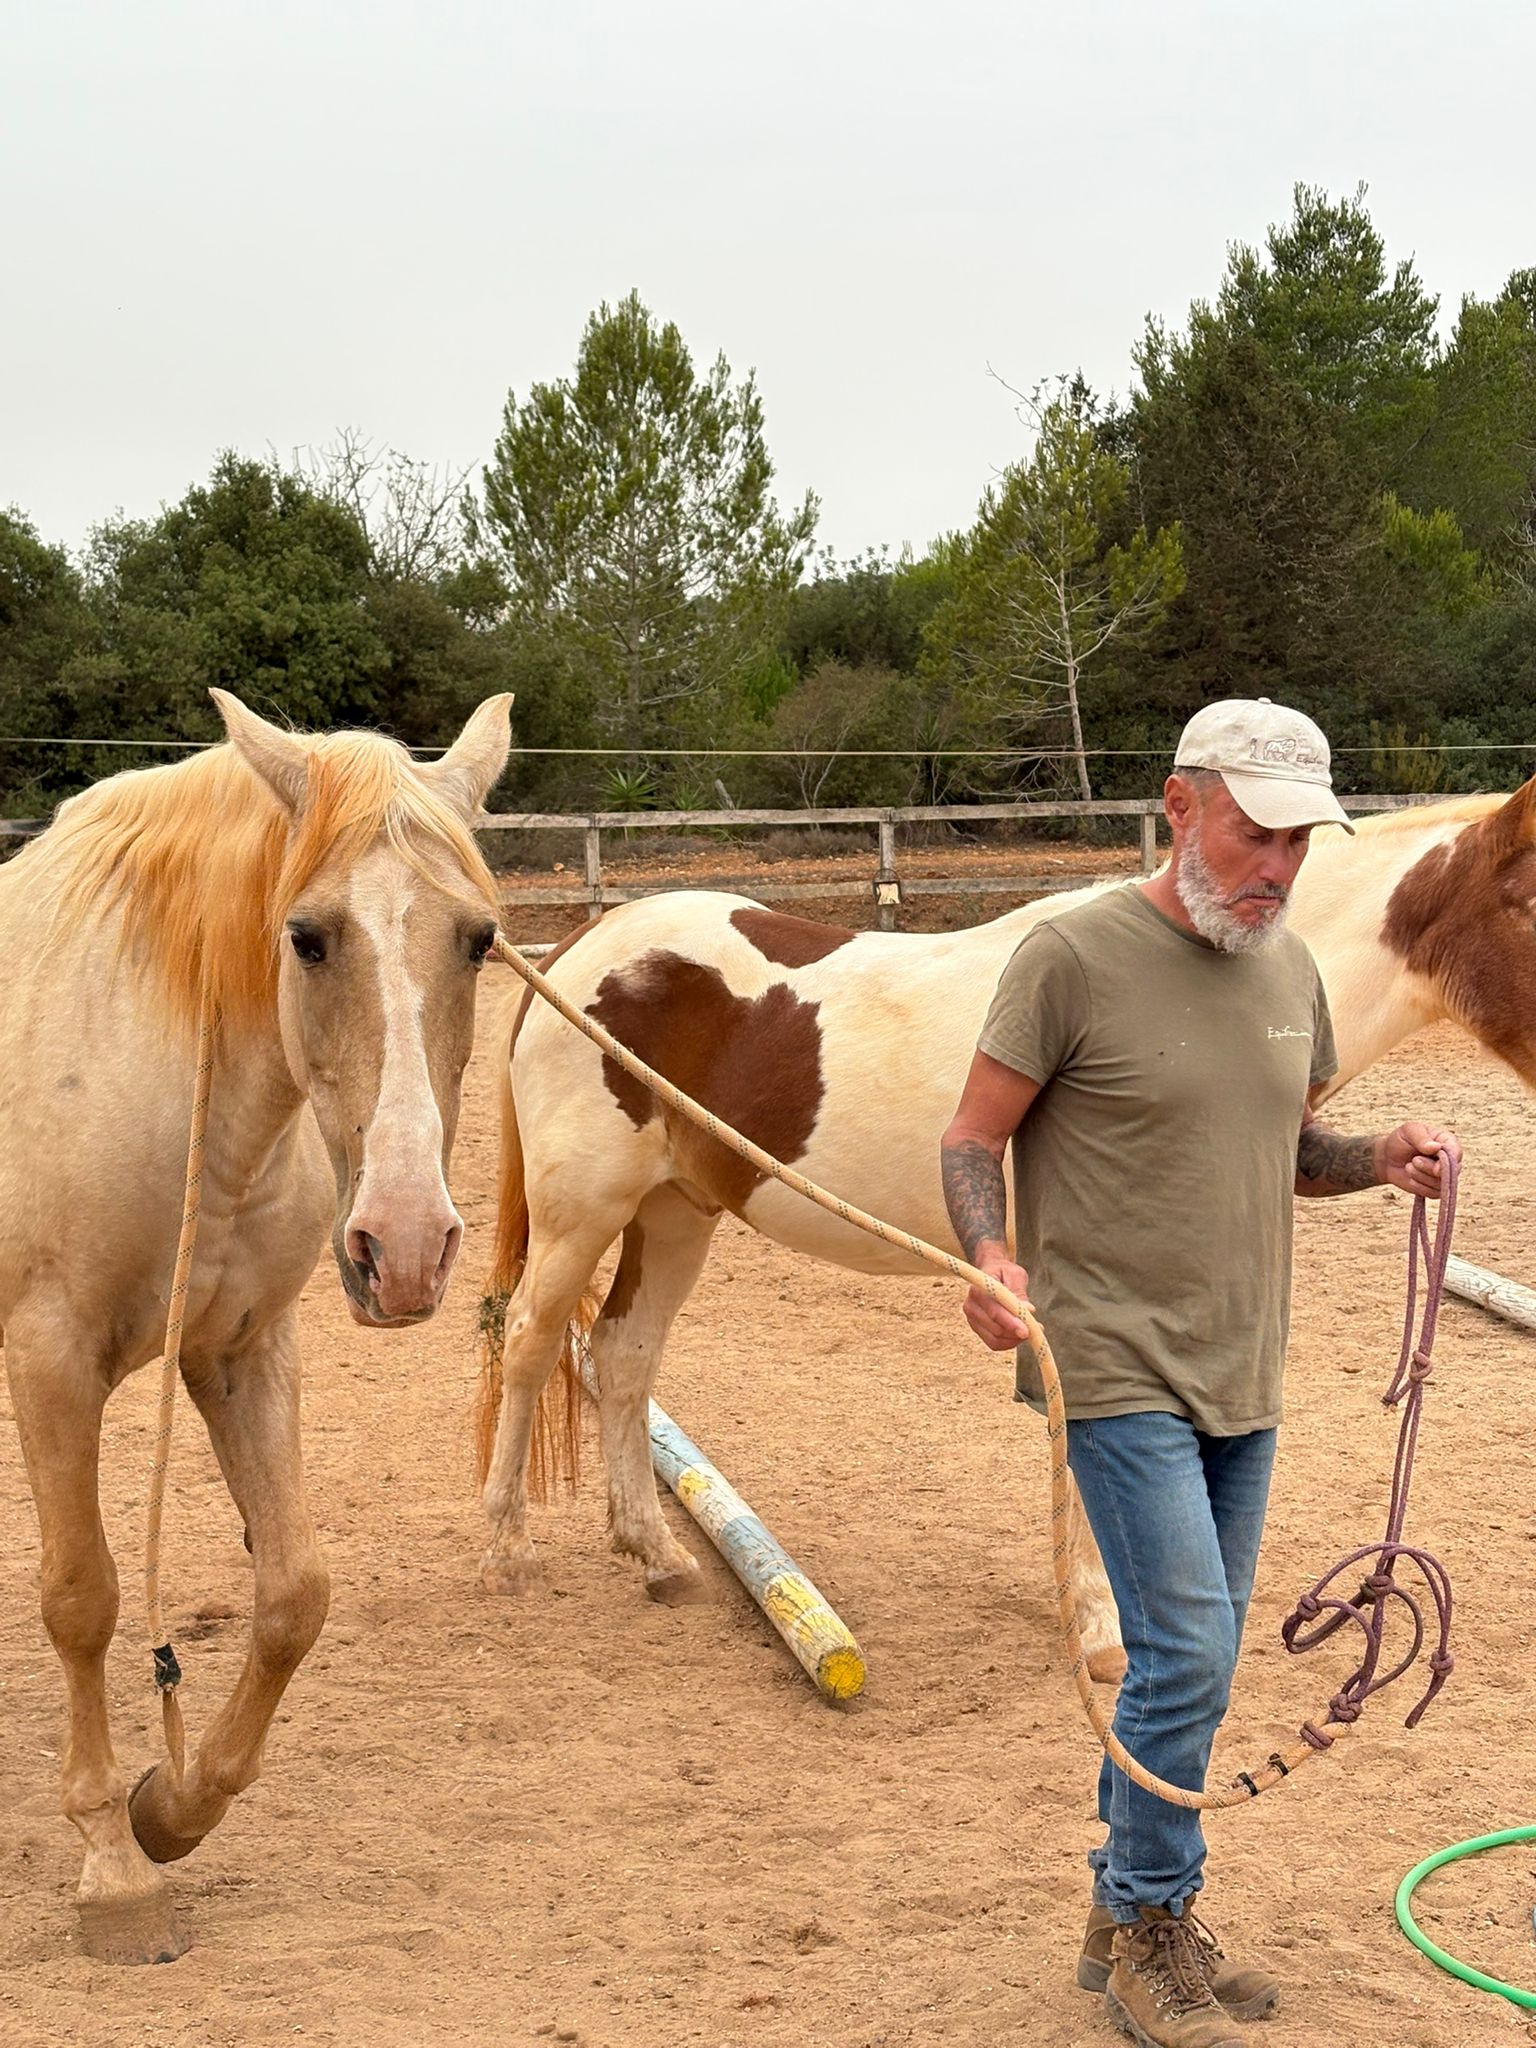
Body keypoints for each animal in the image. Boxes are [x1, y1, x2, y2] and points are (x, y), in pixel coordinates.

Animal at [0, 689, 512, 1964]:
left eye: (478, 938)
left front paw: (170, 1810)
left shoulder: (237, 1347)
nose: (405, 1241)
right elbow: (81, 1594)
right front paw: (113, 1866)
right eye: (308, 936)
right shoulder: (51, 1357)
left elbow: (292, 1595)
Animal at [471, 778, 1536, 1681]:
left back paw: (654, 1555)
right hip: (582, 1217)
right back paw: (507, 1549)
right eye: (1529, 902)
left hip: (676, 1215)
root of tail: (586, 944)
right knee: (529, 1343)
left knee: (624, 1357)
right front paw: (1106, 1636)